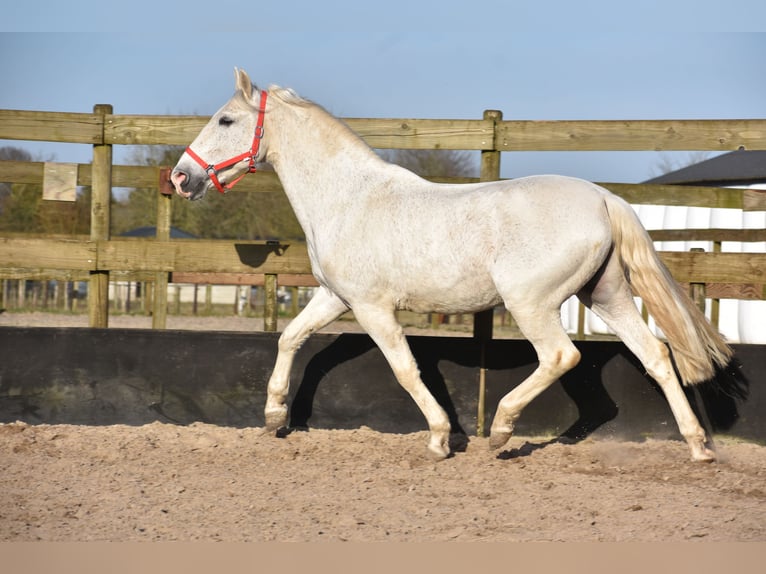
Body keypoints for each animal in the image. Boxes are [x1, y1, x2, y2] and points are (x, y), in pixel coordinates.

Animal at [171, 68, 736, 464]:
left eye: (225, 120)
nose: (180, 178)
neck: (350, 198)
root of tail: (603, 197)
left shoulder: (372, 307)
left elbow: (403, 368)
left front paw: (441, 439)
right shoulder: (335, 297)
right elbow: (291, 338)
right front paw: (273, 418)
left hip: (531, 303)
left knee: (562, 356)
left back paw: (502, 430)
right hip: (606, 295)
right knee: (657, 356)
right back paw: (698, 447)